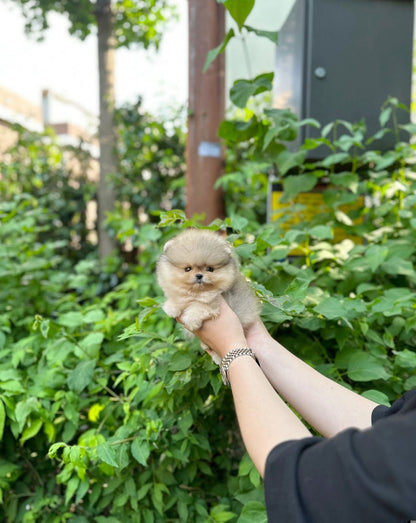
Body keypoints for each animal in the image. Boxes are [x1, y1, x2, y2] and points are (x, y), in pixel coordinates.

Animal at [156, 231, 260, 362]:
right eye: (188, 269)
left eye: (210, 269)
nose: (199, 275)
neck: (198, 292)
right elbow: (181, 297)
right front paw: (171, 307)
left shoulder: (215, 302)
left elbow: (200, 306)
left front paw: (191, 320)